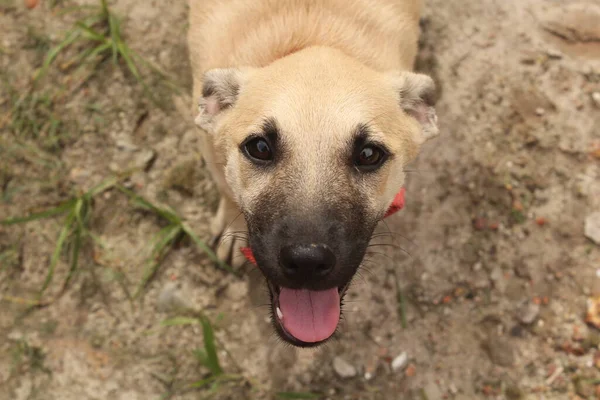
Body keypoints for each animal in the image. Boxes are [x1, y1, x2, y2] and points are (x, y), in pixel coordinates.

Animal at [185, 0, 438, 346]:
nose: (307, 261)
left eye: (369, 154)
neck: (314, 35)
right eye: (259, 147)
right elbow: (226, 188)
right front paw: (232, 227)